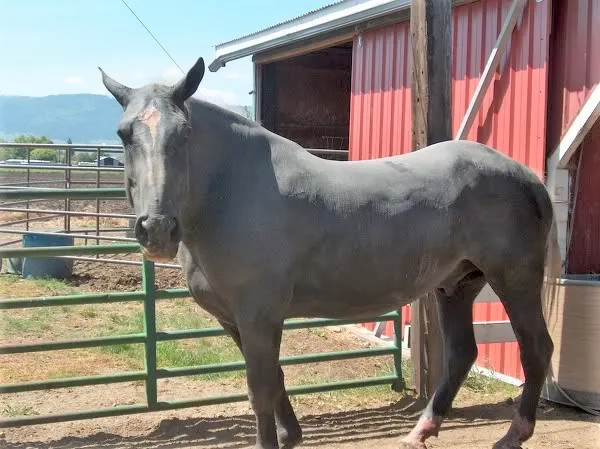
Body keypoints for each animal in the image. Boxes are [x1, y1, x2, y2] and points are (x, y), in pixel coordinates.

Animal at [99, 57, 564, 448]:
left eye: (185, 133)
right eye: (124, 134)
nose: (157, 229)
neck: (230, 192)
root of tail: (526, 175)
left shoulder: (258, 315)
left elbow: (260, 389)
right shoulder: (236, 319)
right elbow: (275, 378)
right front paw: (291, 436)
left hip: (514, 279)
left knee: (536, 349)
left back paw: (512, 436)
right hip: (457, 284)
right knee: (462, 353)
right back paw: (421, 430)